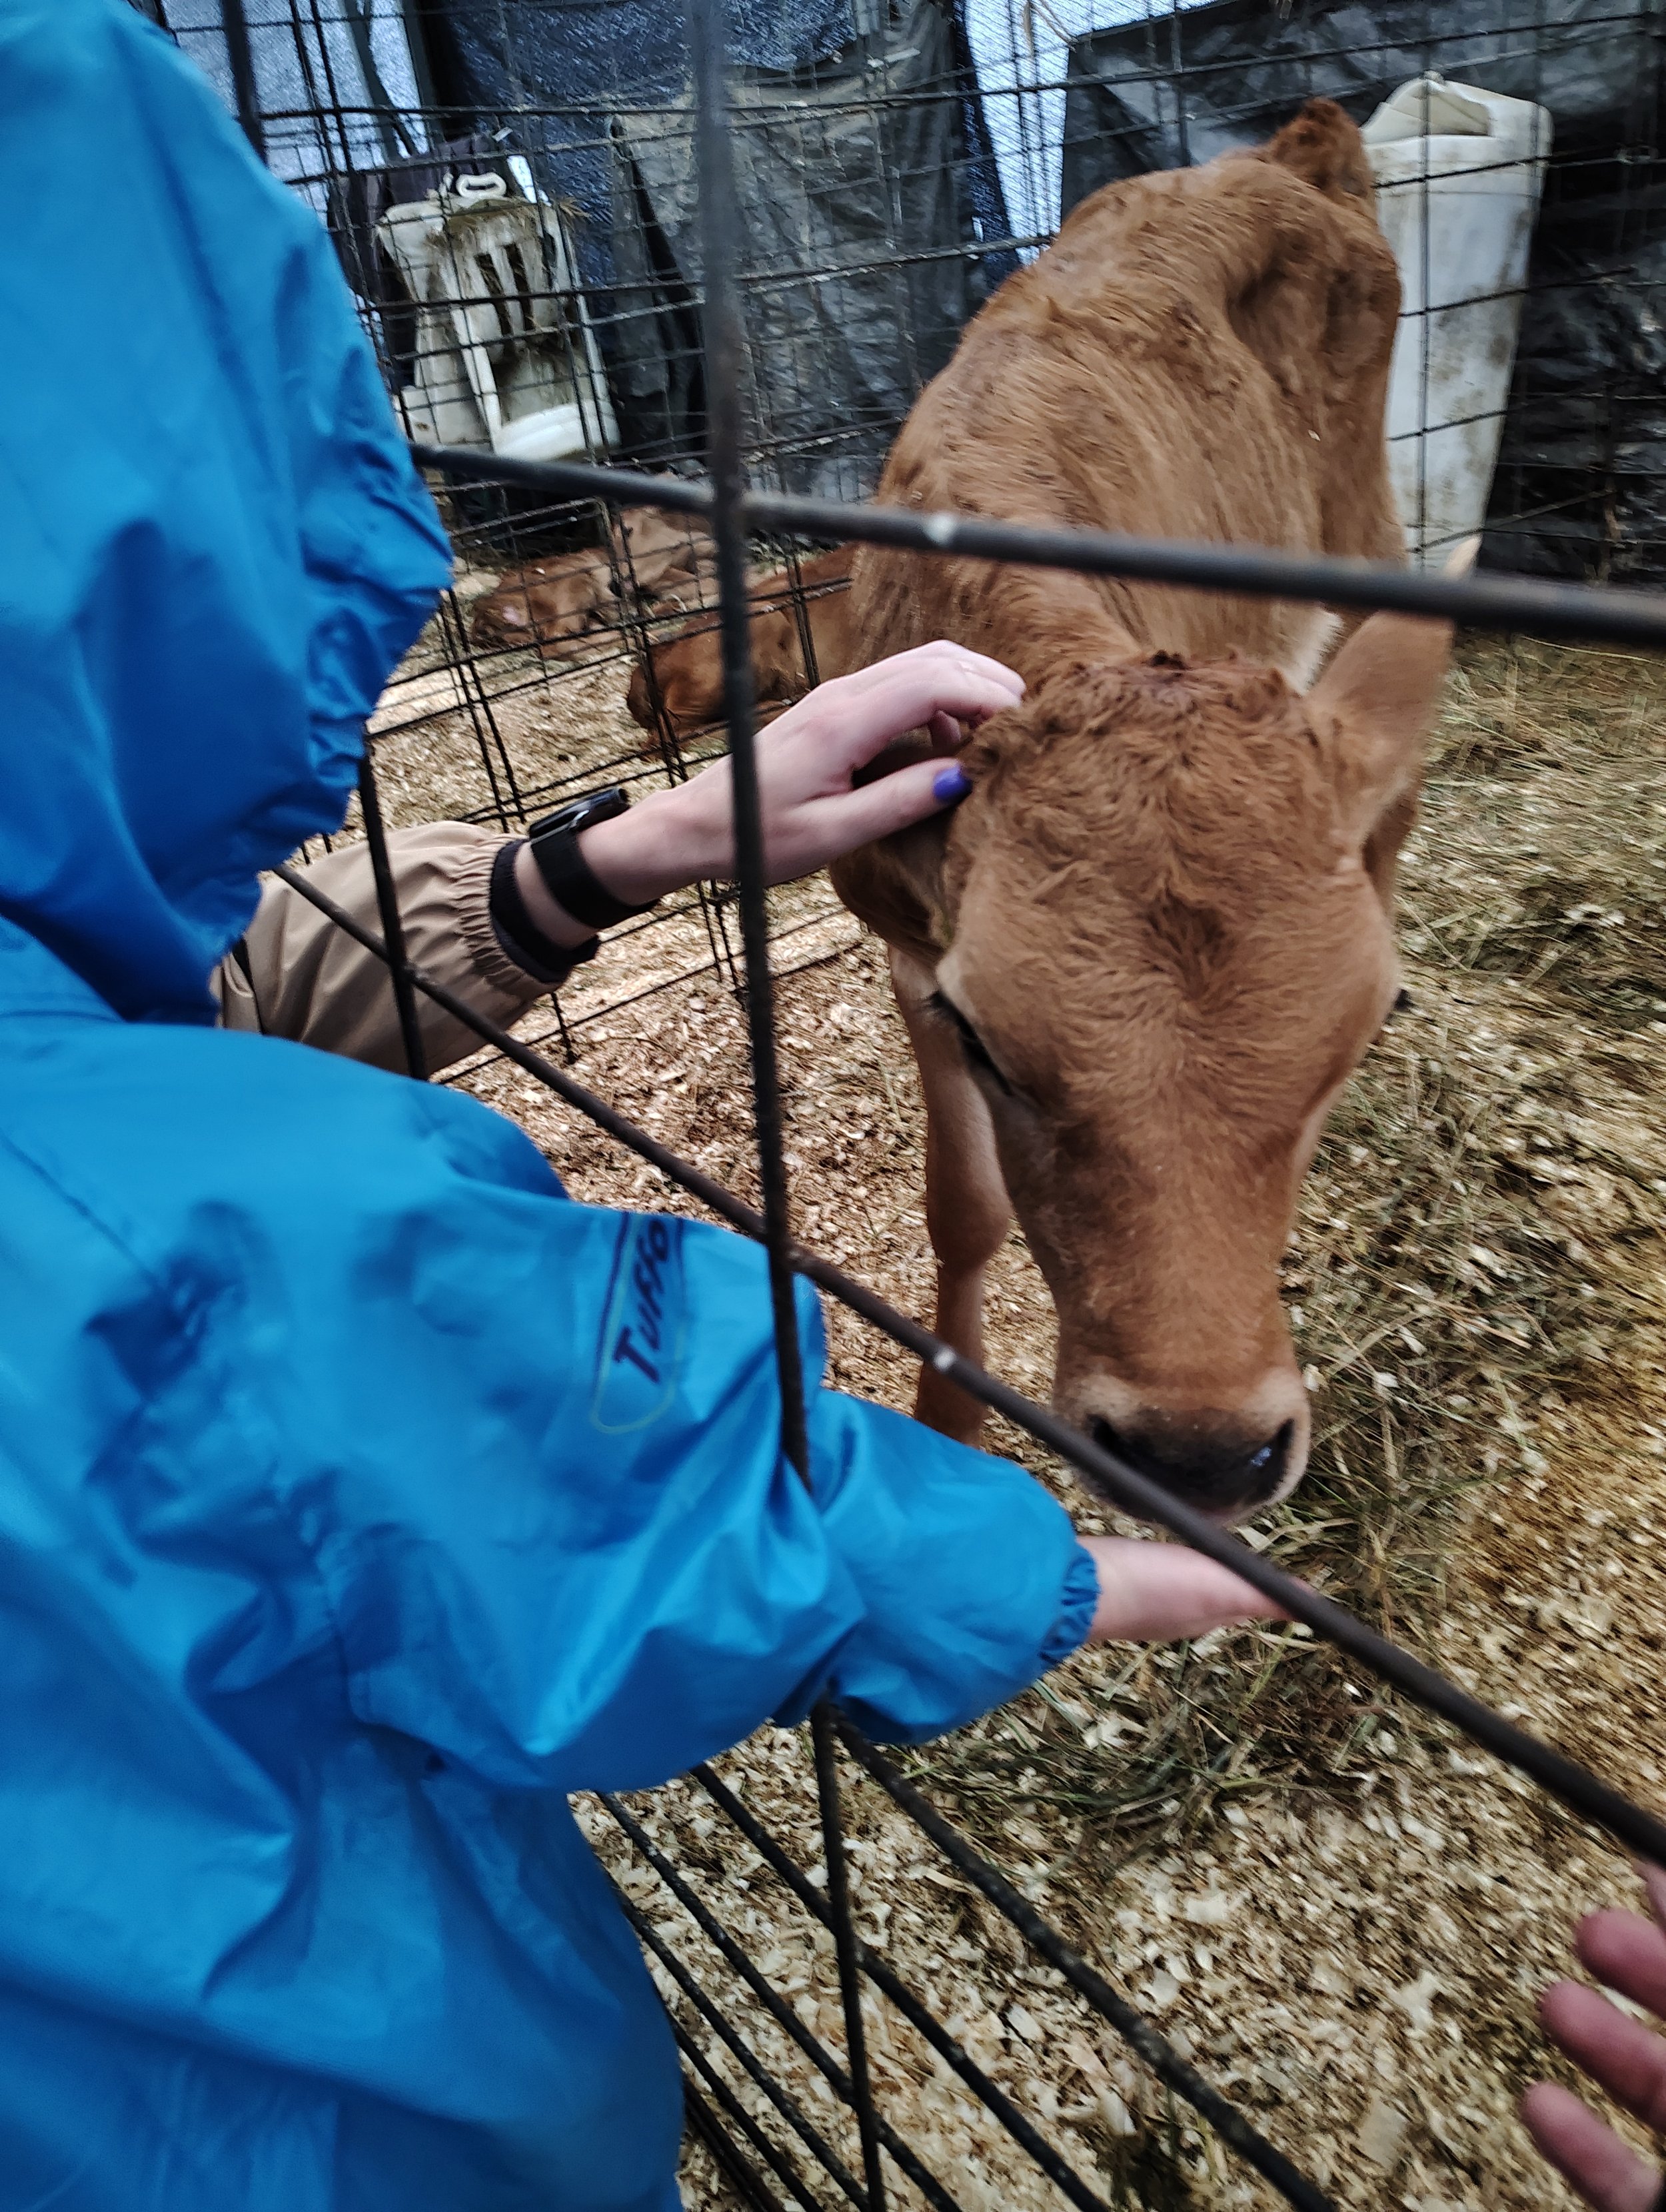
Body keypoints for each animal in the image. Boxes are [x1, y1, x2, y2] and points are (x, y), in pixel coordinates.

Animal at [828, 99, 1452, 1523]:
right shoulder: (906, 944)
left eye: (1354, 1033)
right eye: (988, 1042)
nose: (1199, 1454)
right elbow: (963, 1210)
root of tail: (1284, 151)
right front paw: (948, 1421)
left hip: (1363, 526)